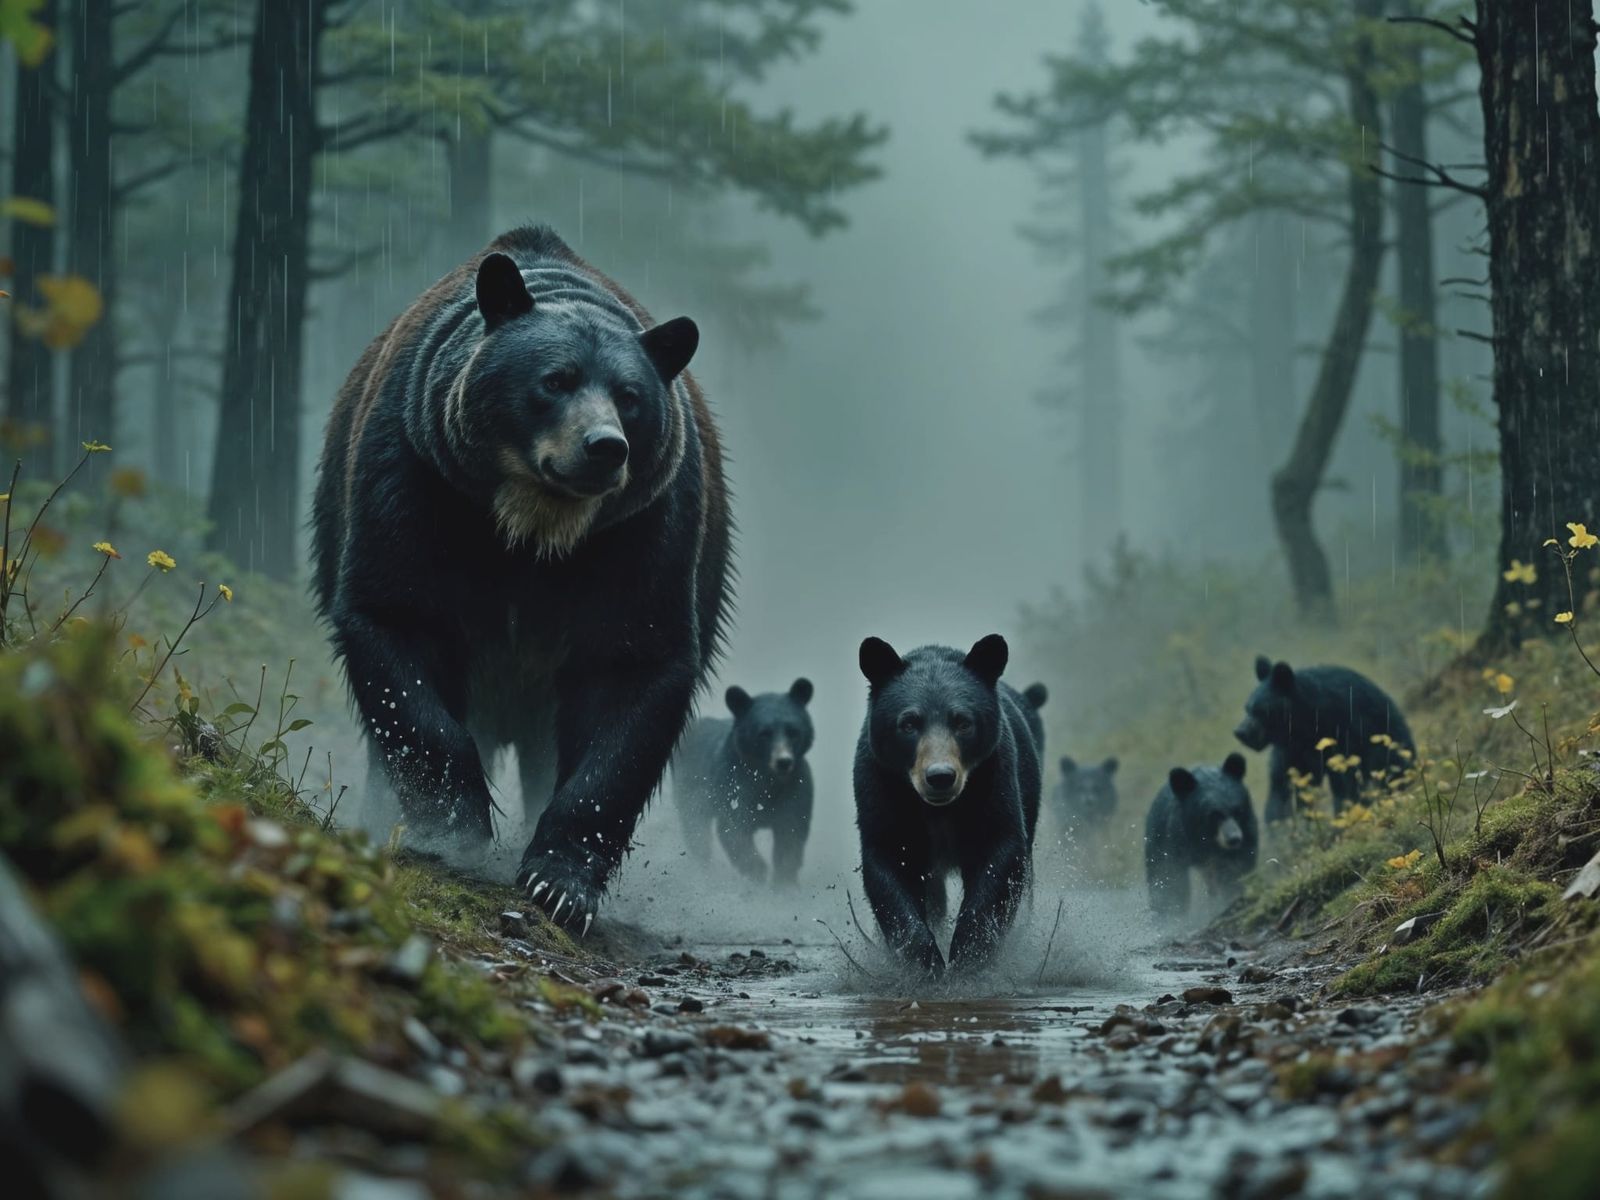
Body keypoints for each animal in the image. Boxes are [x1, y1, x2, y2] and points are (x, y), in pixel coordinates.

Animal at [310, 225, 731, 934]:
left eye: (630, 396)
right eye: (555, 379)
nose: (604, 447)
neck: (534, 529)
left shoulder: (643, 532)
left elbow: (633, 671)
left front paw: (558, 882)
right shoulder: (416, 478)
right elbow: (397, 623)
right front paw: (455, 829)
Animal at [673, 678, 816, 885]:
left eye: (793, 731)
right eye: (764, 733)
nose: (783, 761)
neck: (767, 779)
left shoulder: (795, 787)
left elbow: (790, 834)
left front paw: (784, 882)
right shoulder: (735, 784)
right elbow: (734, 828)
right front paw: (758, 874)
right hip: (690, 788)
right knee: (696, 830)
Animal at [853, 634, 1043, 976]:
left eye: (963, 722)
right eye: (908, 723)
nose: (940, 776)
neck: (938, 810)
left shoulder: (994, 779)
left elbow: (1000, 854)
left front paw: (967, 955)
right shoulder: (881, 785)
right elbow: (887, 862)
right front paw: (925, 960)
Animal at [1144, 752, 1257, 917]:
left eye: (1237, 810)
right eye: (1215, 815)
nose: (1234, 839)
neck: (1206, 838)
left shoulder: (1247, 828)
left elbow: (1237, 867)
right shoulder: (1176, 839)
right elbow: (1171, 876)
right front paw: (1175, 911)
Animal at [1233, 655, 1416, 823]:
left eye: (1260, 710)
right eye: (1247, 708)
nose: (1240, 732)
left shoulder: (1345, 734)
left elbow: (1346, 784)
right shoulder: (1292, 751)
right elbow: (1282, 789)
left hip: (1390, 742)